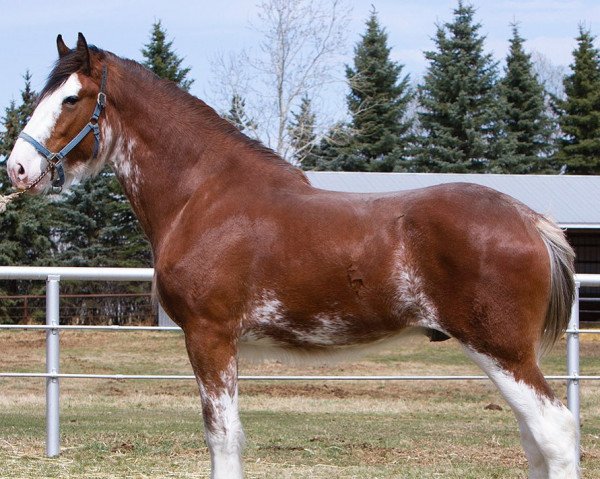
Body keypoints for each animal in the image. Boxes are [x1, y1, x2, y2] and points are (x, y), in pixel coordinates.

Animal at [4, 34, 576, 479]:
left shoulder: (210, 338)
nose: (17, 168)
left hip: (503, 352)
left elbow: (223, 438)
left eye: (72, 98)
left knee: (555, 433)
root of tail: (531, 220)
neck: (203, 195)